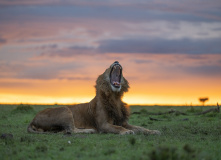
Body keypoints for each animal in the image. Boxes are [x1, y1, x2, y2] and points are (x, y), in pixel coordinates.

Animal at [27, 61, 161, 135]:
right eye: (106, 68)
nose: (116, 61)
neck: (114, 97)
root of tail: (32, 120)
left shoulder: (123, 122)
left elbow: (140, 128)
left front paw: (153, 131)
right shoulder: (103, 124)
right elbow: (117, 127)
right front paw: (126, 132)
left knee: (66, 130)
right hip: (65, 110)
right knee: (72, 130)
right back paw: (89, 130)